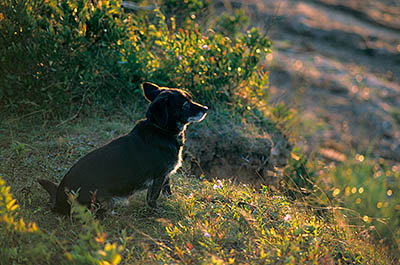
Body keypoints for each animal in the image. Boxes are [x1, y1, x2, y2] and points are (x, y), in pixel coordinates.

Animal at [38, 82, 208, 214]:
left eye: (191, 99)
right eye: (185, 105)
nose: (206, 108)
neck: (160, 129)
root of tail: (58, 201)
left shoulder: (166, 175)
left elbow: (167, 189)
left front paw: (171, 200)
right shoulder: (158, 176)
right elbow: (153, 197)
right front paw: (157, 212)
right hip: (102, 199)